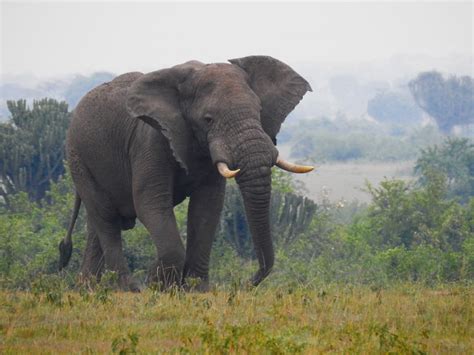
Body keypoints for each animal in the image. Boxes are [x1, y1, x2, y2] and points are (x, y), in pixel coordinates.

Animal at [57, 55, 312, 292]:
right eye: (208, 119)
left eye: (259, 111)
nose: (247, 283)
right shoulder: (150, 140)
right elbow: (150, 202)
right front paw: (159, 286)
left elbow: (207, 207)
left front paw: (195, 290)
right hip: (78, 157)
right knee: (106, 218)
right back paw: (126, 290)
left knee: (97, 224)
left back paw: (88, 288)